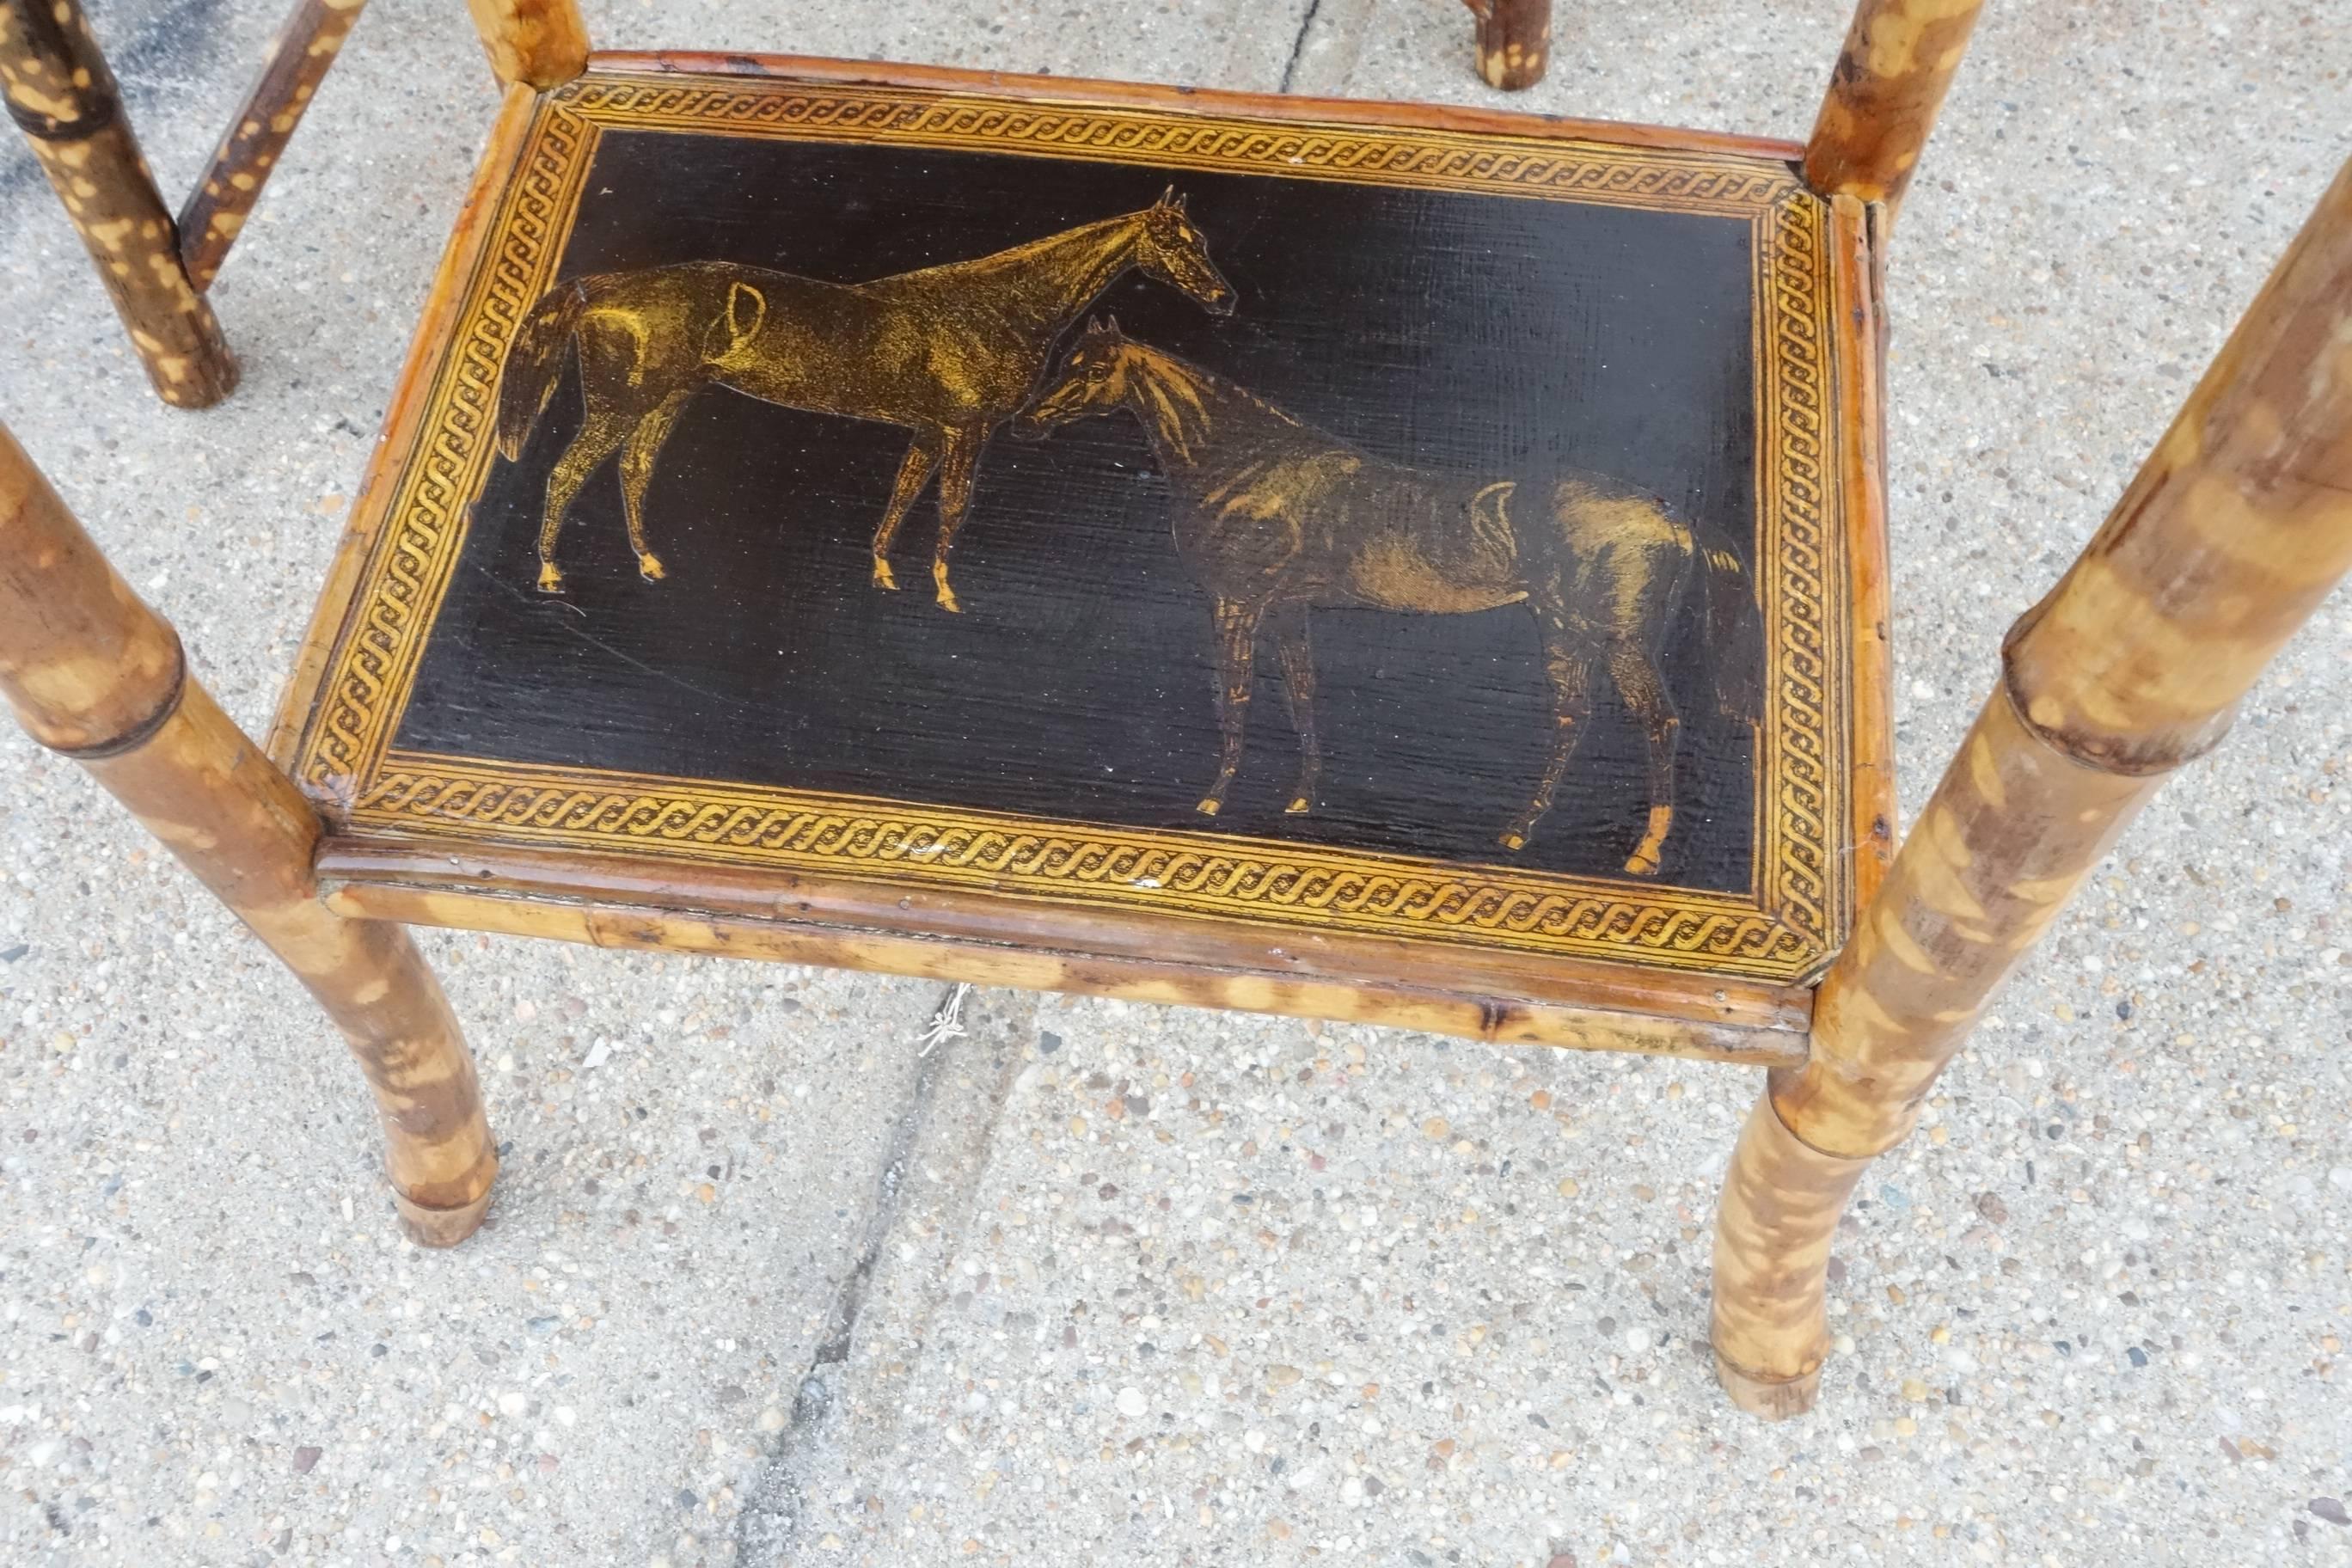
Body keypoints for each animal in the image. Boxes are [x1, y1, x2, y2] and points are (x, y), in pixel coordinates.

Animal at [489, 190, 1241, 611]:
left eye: (1202, 239)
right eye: (1173, 240)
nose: (1224, 297)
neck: (1000, 306)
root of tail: (598, 287)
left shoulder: (932, 429)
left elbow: (904, 493)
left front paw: (884, 571)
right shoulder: (967, 430)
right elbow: (952, 506)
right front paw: (946, 593)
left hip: (668, 399)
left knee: (633, 470)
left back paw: (649, 563)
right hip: (621, 404)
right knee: (568, 472)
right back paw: (551, 573)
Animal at [1015, 317, 1768, 869]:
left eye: (1090, 367)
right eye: (1066, 357)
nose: (1027, 422)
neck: (1247, 465)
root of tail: (1673, 515)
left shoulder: (1237, 603)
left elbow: (1235, 697)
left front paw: (1212, 801)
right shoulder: (1287, 609)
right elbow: (1302, 693)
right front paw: (1300, 799)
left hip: (1617, 638)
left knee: (1658, 721)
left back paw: (1643, 853)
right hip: (1563, 628)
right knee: (1570, 718)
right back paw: (1519, 831)